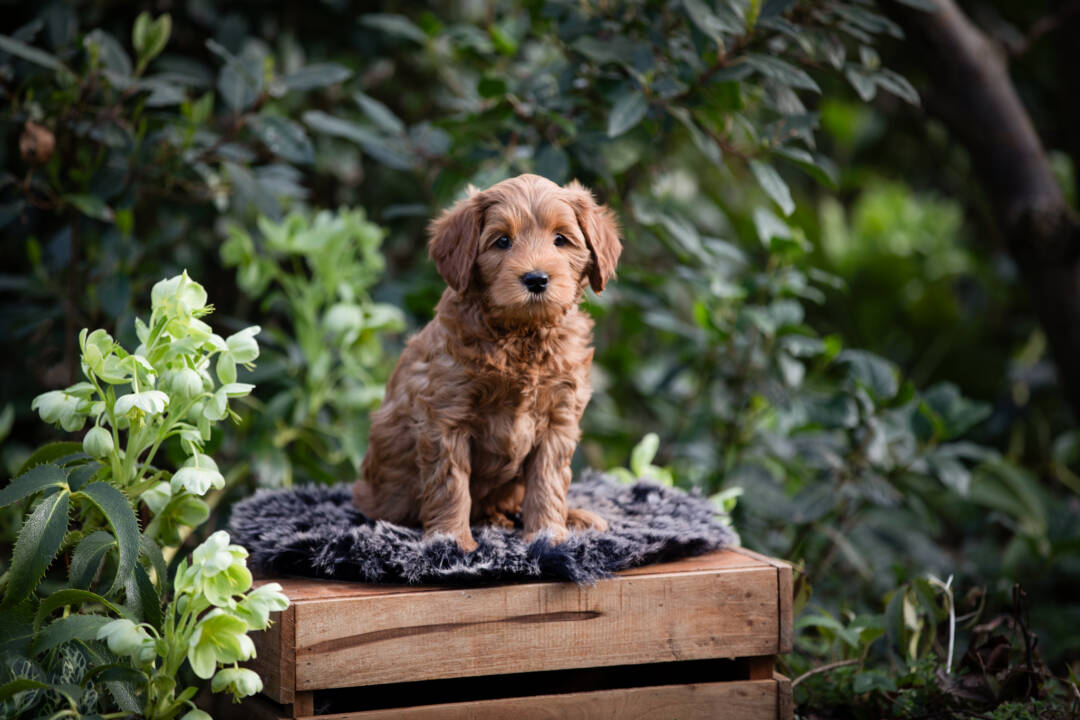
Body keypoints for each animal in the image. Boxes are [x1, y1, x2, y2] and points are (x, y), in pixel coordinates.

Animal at [354, 174, 622, 552]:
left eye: (560, 239)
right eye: (502, 241)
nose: (536, 279)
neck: (521, 337)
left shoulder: (559, 419)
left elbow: (548, 480)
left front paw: (548, 534)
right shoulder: (446, 416)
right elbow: (450, 483)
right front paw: (451, 539)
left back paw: (572, 517)